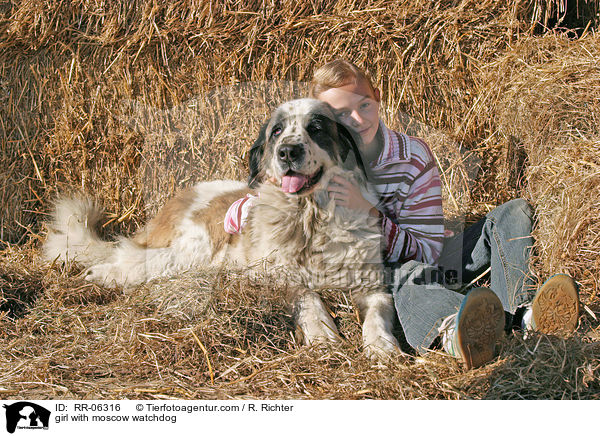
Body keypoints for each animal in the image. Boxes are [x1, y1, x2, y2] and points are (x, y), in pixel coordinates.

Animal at [44, 99, 400, 358]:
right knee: (131, 261)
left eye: (315, 129)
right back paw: (99, 275)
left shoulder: (372, 284)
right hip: (193, 247)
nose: (287, 151)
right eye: (277, 131)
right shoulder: (275, 275)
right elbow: (307, 295)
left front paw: (382, 346)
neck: (310, 216)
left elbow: (378, 313)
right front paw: (322, 333)